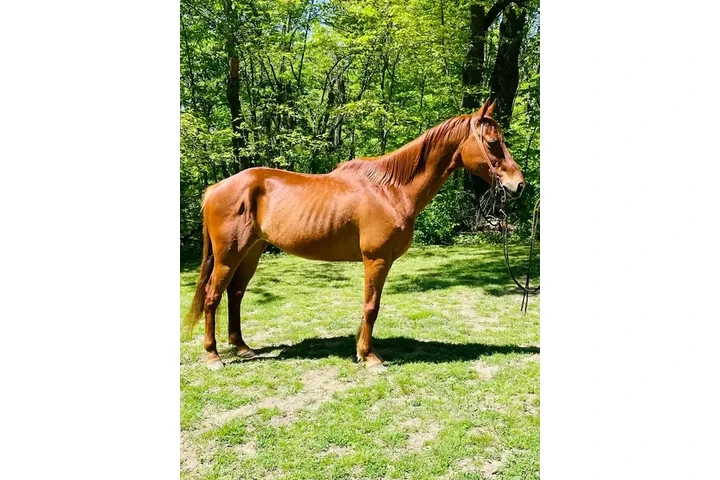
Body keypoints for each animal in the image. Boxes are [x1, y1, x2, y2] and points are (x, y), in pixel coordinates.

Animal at [184, 99, 526, 371]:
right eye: (492, 142)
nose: (519, 185)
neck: (391, 190)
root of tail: (216, 188)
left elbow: (370, 306)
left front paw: (363, 352)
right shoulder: (376, 259)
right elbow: (371, 306)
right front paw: (369, 357)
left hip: (251, 252)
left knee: (235, 294)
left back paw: (243, 348)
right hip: (228, 255)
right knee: (213, 296)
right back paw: (213, 356)